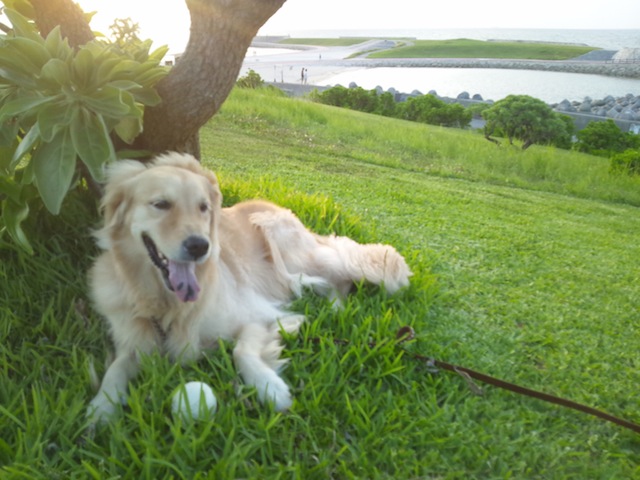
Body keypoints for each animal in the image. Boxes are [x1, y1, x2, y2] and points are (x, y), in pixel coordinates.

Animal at [87, 152, 412, 422]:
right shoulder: (133, 342)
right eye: (161, 204)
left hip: (290, 250)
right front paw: (101, 408)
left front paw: (271, 388)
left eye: (203, 208)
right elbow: (116, 369)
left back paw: (335, 307)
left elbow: (241, 351)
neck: (167, 304)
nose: (200, 246)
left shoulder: (259, 317)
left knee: (341, 274)